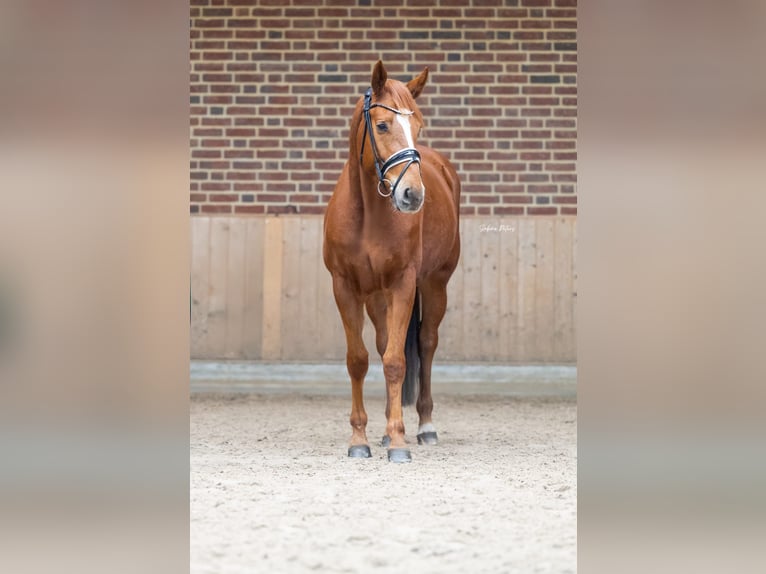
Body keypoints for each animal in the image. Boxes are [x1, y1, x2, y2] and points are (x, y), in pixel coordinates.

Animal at [323, 60, 461, 463]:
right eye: (382, 125)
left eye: (419, 126)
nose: (412, 195)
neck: (368, 213)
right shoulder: (346, 288)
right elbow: (359, 360)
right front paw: (360, 439)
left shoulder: (403, 284)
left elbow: (398, 362)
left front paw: (398, 441)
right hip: (376, 297)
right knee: (385, 344)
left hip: (434, 285)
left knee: (426, 344)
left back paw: (425, 427)